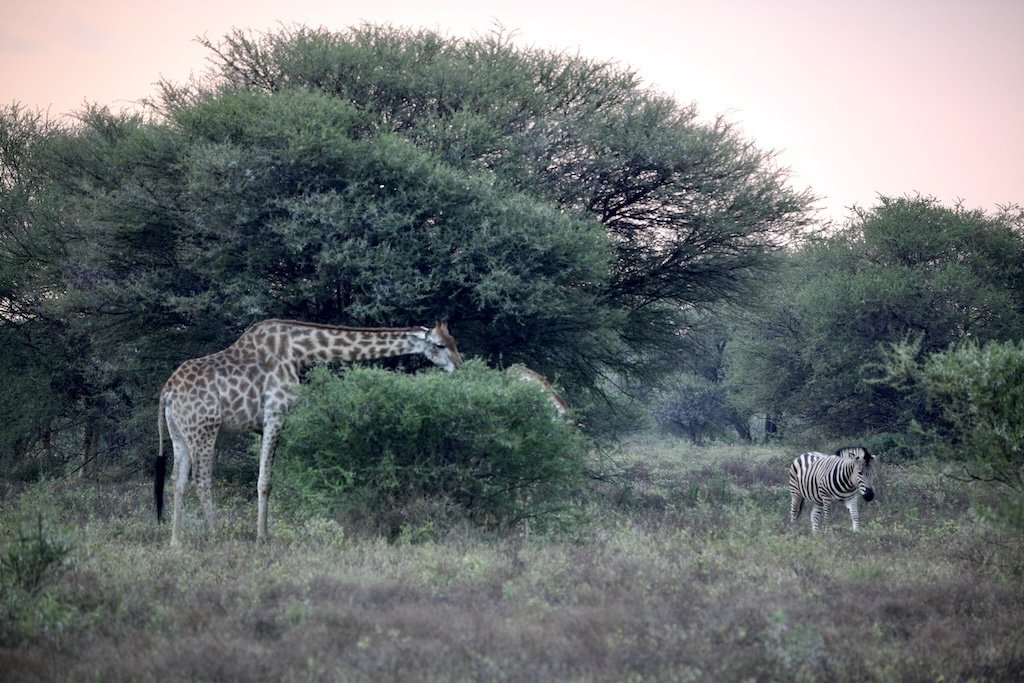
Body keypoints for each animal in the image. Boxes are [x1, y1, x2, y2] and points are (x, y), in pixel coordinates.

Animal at [155, 319, 462, 545]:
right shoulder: (275, 415)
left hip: (180, 433)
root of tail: (167, 392)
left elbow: (263, 480)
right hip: (205, 428)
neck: (299, 352)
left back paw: (175, 541)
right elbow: (265, 482)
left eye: (454, 341)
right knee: (202, 480)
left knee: (177, 480)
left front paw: (261, 534)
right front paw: (262, 538)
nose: (459, 365)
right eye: (439, 345)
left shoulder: (265, 424)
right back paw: (217, 536)